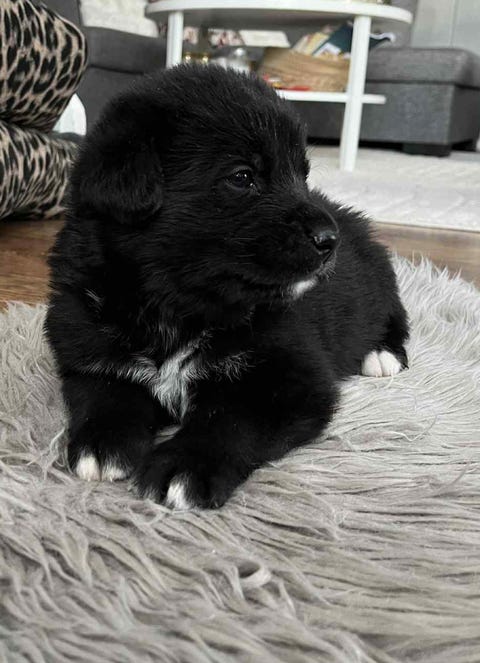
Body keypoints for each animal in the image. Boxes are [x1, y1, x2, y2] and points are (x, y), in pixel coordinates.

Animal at [46, 65, 409, 509]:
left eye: (302, 174)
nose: (329, 240)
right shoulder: (86, 348)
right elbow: (104, 391)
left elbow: (233, 419)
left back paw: (381, 355)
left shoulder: (292, 380)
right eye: (242, 177)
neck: (176, 308)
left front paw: (184, 466)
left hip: (381, 282)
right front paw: (102, 445)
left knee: (395, 318)